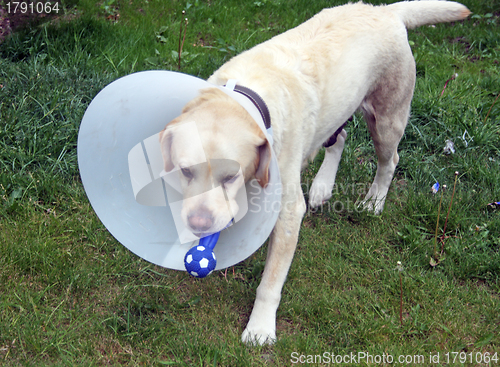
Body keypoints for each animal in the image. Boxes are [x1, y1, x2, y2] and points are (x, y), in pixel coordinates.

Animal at [159, 0, 468, 344]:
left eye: (231, 177)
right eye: (185, 171)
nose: (197, 224)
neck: (246, 96)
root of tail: (385, 10)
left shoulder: (288, 211)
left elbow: (270, 283)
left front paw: (260, 328)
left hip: (387, 119)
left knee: (390, 161)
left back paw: (374, 202)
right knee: (340, 137)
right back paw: (322, 186)